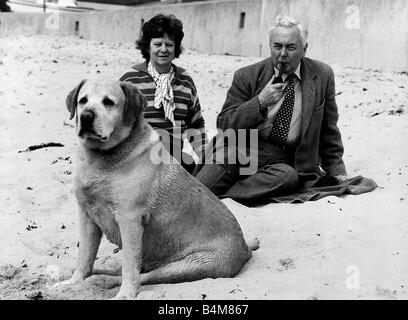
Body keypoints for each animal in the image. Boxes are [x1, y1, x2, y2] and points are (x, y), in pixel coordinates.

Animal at [55, 79, 258, 298]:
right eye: (82, 101)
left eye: (108, 102)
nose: (85, 116)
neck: (102, 160)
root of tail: (245, 248)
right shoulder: (87, 216)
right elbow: (84, 257)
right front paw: (74, 282)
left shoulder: (130, 220)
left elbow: (129, 268)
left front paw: (125, 294)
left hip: (189, 265)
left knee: (143, 275)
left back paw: (104, 280)